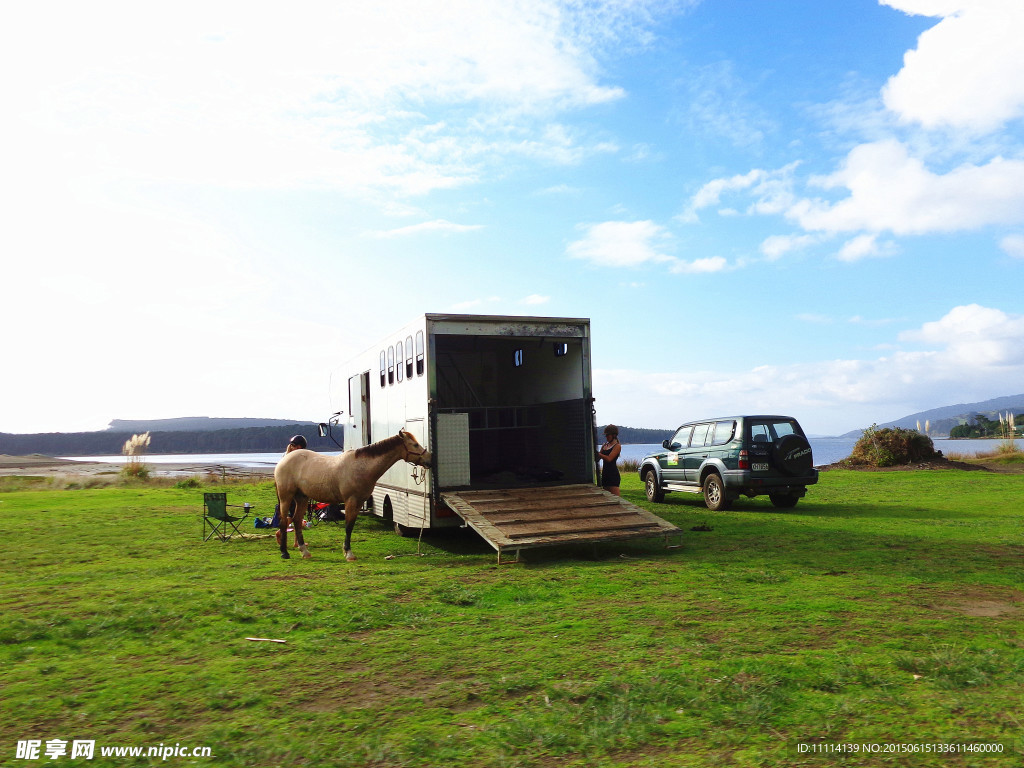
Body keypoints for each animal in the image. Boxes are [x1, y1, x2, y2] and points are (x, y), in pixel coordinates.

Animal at [274, 430, 430, 561]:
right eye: (415, 444)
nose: (429, 459)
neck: (362, 466)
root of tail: (284, 460)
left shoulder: (359, 502)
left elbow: (351, 525)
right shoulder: (351, 501)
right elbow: (348, 526)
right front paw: (349, 553)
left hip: (302, 498)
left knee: (296, 520)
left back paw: (304, 551)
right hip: (286, 497)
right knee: (284, 521)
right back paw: (284, 552)